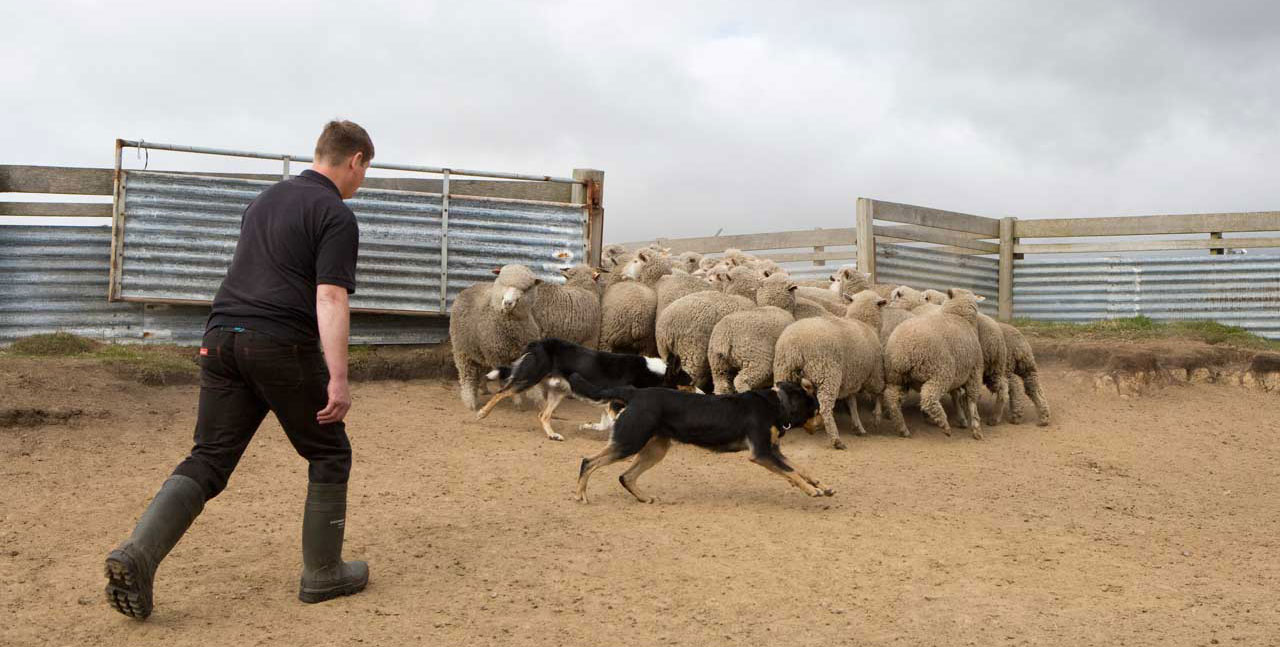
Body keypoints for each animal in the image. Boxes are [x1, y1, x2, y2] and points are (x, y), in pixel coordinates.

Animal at [448, 262, 542, 407]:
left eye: (526, 288)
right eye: (502, 282)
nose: (508, 303)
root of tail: (471, 286)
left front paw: (536, 398)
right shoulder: (499, 356)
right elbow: (507, 381)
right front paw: (517, 401)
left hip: (481, 351)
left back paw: (483, 389)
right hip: (462, 349)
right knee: (467, 374)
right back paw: (470, 401)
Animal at [568, 374, 829, 504]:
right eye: (817, 410)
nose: (824, 424)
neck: (778, 404)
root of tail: (635, 393)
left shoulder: (773, 451)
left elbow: (800, 468)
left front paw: (822, 485)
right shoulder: (762, 453)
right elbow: (791, 472)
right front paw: (811, 490)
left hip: (655, 449)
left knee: (625, 476)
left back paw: (644, 498)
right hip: (629, 442)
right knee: (588, 462)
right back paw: (581, 494)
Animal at [885, 286, 983, 438]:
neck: (958, 316)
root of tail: (903, 351)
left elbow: (956, 395)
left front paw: (963, 419)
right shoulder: (974, 372)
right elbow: (972, 400)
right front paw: (976, 429)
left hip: (896, 376)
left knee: (892, 398)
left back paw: (902, 428)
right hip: (940, 372)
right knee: (928, 397)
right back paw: (944, 425)